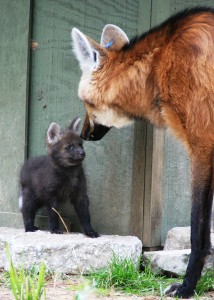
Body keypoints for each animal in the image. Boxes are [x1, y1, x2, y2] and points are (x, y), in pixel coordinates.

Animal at [71, 7, 214, 298]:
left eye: (86, 103)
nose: (84, 134)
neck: (158, 65)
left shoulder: (202, 144)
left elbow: (198, 229)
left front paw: (186, 286)